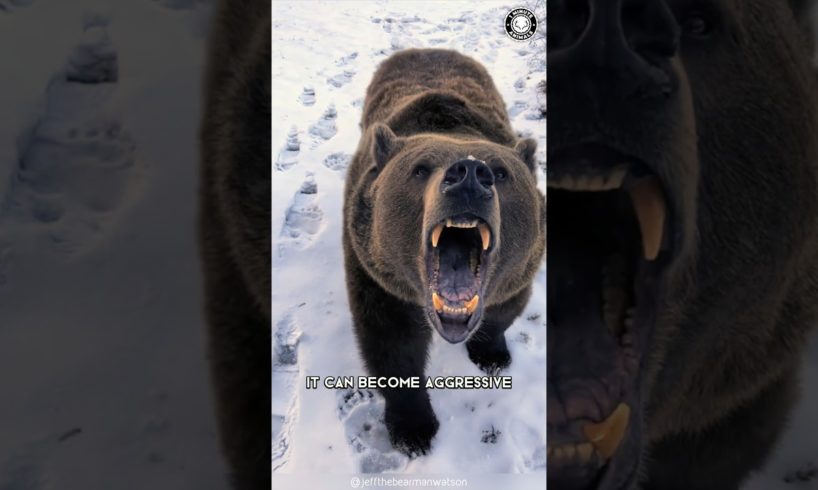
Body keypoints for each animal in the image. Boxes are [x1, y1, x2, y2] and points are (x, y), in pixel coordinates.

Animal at [342, 48, 540, 456]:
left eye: (501, 172)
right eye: (419, 169)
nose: (469, 174)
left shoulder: (515, 274)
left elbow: (504, 311)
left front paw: (493, 355)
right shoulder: (377, 276)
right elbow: (392, 347)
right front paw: (414, 429)